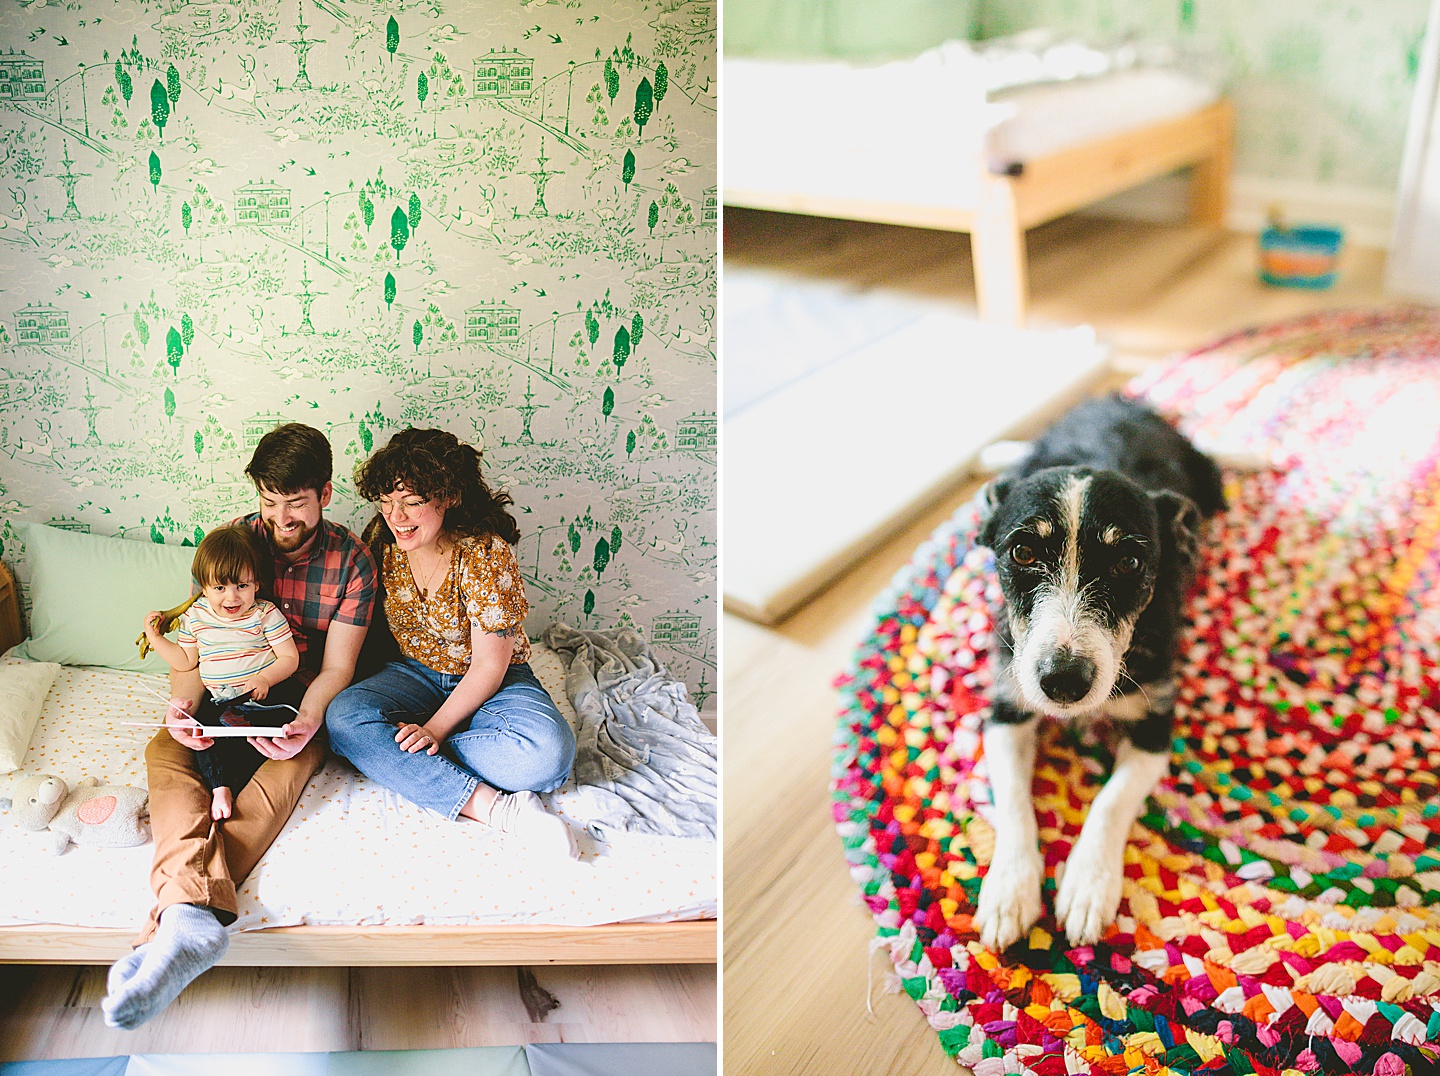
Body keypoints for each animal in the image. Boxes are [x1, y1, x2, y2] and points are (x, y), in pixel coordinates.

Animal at [973, 394, 1221, 950]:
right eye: (1022, 551)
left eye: (1129, 562)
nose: (1063, 680)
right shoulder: (1007, 709)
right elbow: (1014, 802)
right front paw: (1009, 893)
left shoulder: (1155, 725)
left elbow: (1110, 801)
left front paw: (1087, 888)